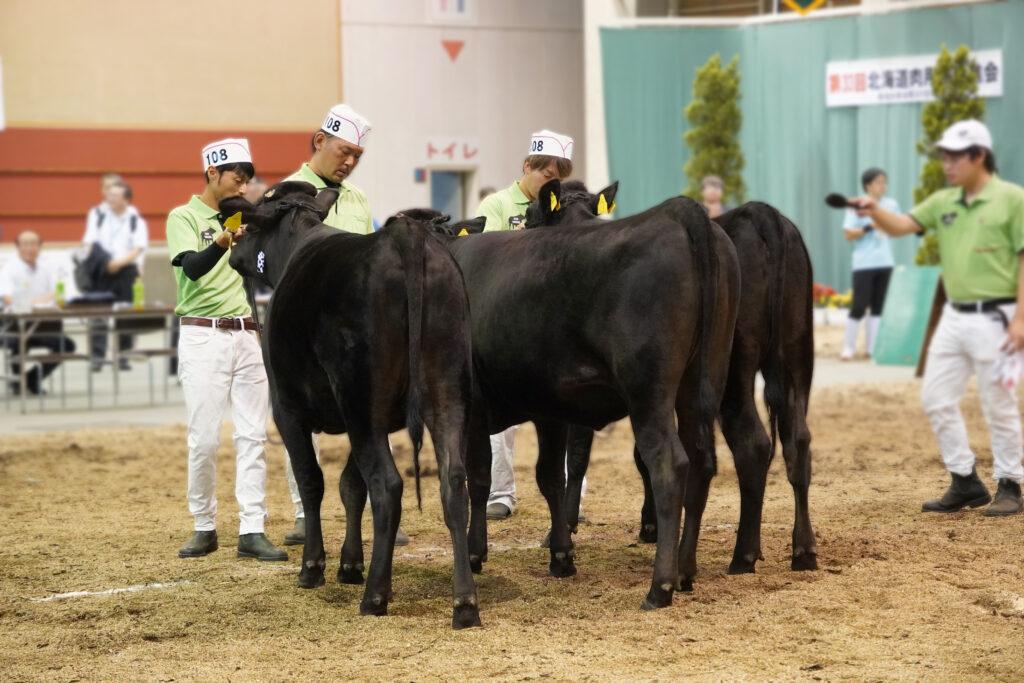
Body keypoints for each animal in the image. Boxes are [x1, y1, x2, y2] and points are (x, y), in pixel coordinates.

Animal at [219, 181, 479, 630]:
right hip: (445, 389)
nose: (233, 247)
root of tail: (403, 236)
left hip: (361, 398)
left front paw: (314, 567)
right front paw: (350, 564)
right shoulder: (380, 418)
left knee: (388, 486)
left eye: (250, 222)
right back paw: (464, 603)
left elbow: (312, 481)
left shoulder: (287, 410)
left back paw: (376, 595)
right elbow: (350, 486)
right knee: (453, 483)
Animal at [419, 189, 741, 610]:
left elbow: (479, 478)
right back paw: (686, 571)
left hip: (648, 389)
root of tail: (676, 211)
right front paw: (561, 556)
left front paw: (475, 553)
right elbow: (551, 477)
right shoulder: (549, 408)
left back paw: (660, 587)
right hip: (703, 378)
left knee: (670, 466)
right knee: (702, 461)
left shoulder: (471, 405)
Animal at [532, 180, 819, 589]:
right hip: (796, 353)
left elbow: (585, 454)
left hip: (734, 367)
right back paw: (800, 551)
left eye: (530, 217)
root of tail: (759, 214)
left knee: (751, 443)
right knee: (796, 440)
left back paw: (741, 556)